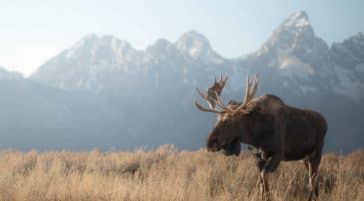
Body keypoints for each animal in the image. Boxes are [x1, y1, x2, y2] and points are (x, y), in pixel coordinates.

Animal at [195, 74, 328, 201]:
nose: (209, 143)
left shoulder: (278, 154)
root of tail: (325, 122)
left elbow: (264, 177)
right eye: (216, 119)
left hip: (317, 152)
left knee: (314, 179)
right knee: (313, 178)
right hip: (305, 158)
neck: (257, 136)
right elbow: (260, 184)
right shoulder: (257, 156)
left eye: (227, 120)